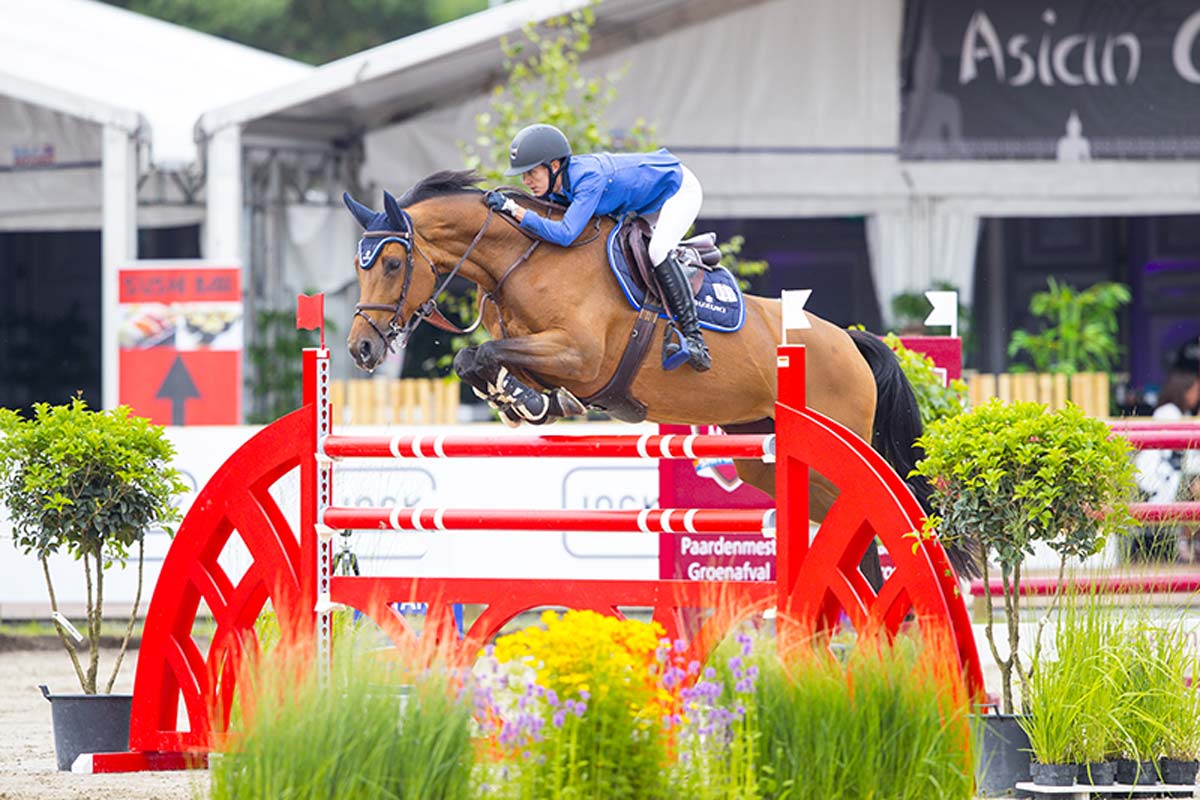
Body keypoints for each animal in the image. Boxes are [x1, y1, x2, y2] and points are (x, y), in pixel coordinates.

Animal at [340, 172, 974, 578]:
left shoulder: (579, 355)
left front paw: (526, 400)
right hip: (762, 454)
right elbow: (480, 360)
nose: (362, 349)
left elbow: (481, 355)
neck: (524, 259)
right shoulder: (543, 352)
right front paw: (528, 402)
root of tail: (849, 341)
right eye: (358, 266)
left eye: (392, 262)